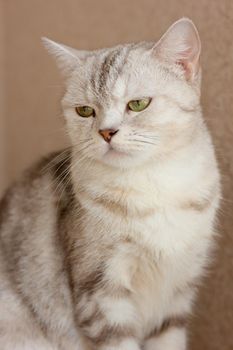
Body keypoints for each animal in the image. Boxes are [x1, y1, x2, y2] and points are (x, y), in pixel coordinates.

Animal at [0, 17, 220, 348]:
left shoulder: (178, 294)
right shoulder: (101, 293)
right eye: (85, 110)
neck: (152, 188)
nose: (106, 132)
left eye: (138, 104)